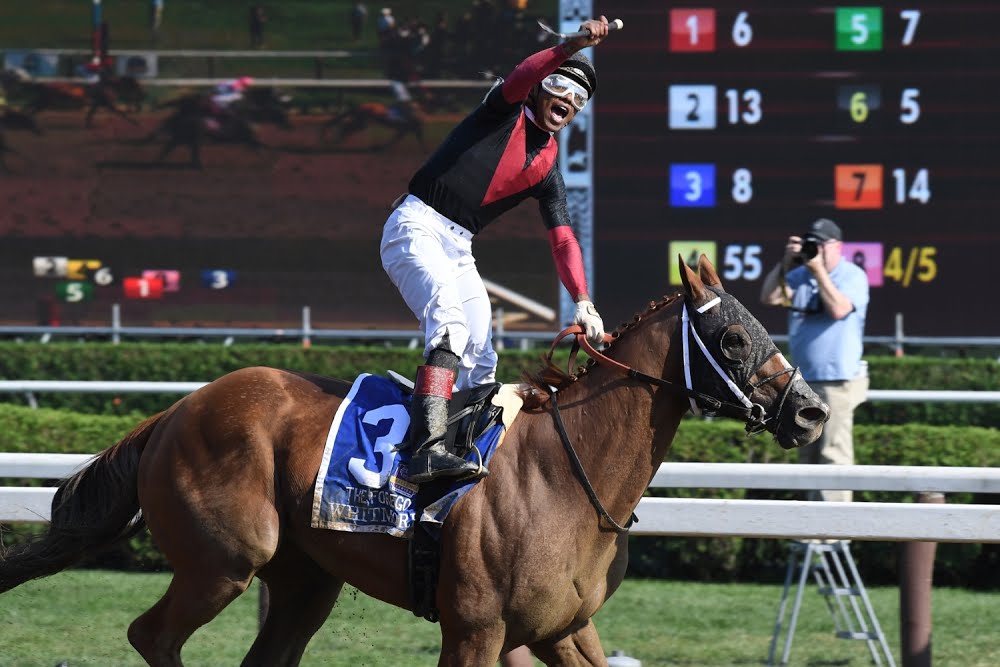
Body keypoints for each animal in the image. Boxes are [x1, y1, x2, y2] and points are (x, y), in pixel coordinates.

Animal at [0, 254, 828, 664]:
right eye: (731, 337)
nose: (811, 410)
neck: (568, 474)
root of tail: (174, 411)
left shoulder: (563, 627)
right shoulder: (475, 629)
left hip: (304, 581)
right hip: (224, 560)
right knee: (154, 636)